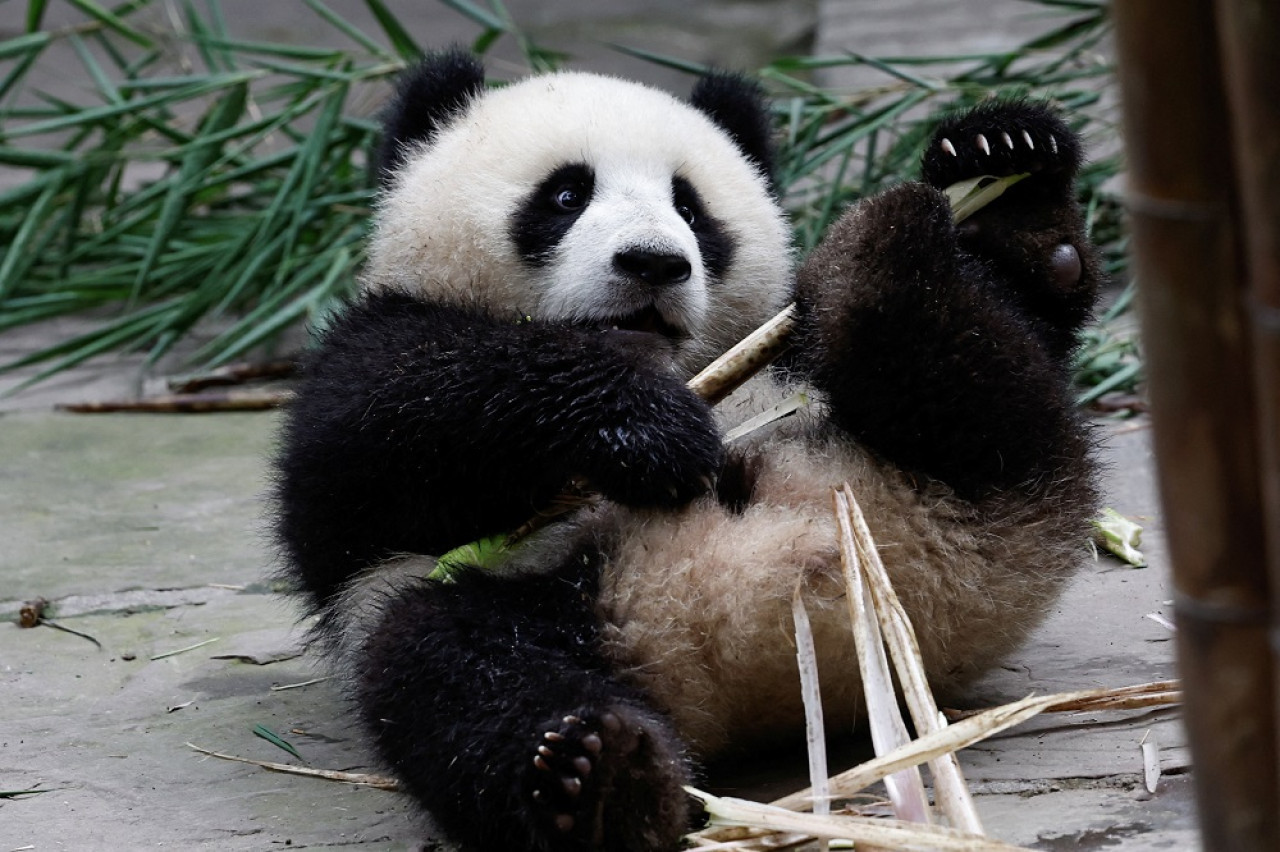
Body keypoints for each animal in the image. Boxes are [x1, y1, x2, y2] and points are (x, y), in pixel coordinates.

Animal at [275, 47, 1105, 849]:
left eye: (690, 207)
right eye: (566, 196)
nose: (653, 262)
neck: (674, 364)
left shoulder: (777, 351)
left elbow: (1040, 314)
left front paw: (1004, 160)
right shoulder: (361, 384)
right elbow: (389, 429)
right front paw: (644, 427)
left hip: (954, 488)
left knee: (985, 388)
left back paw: (898, 247)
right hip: (518, 596)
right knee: (453, 670)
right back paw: (598, 779)